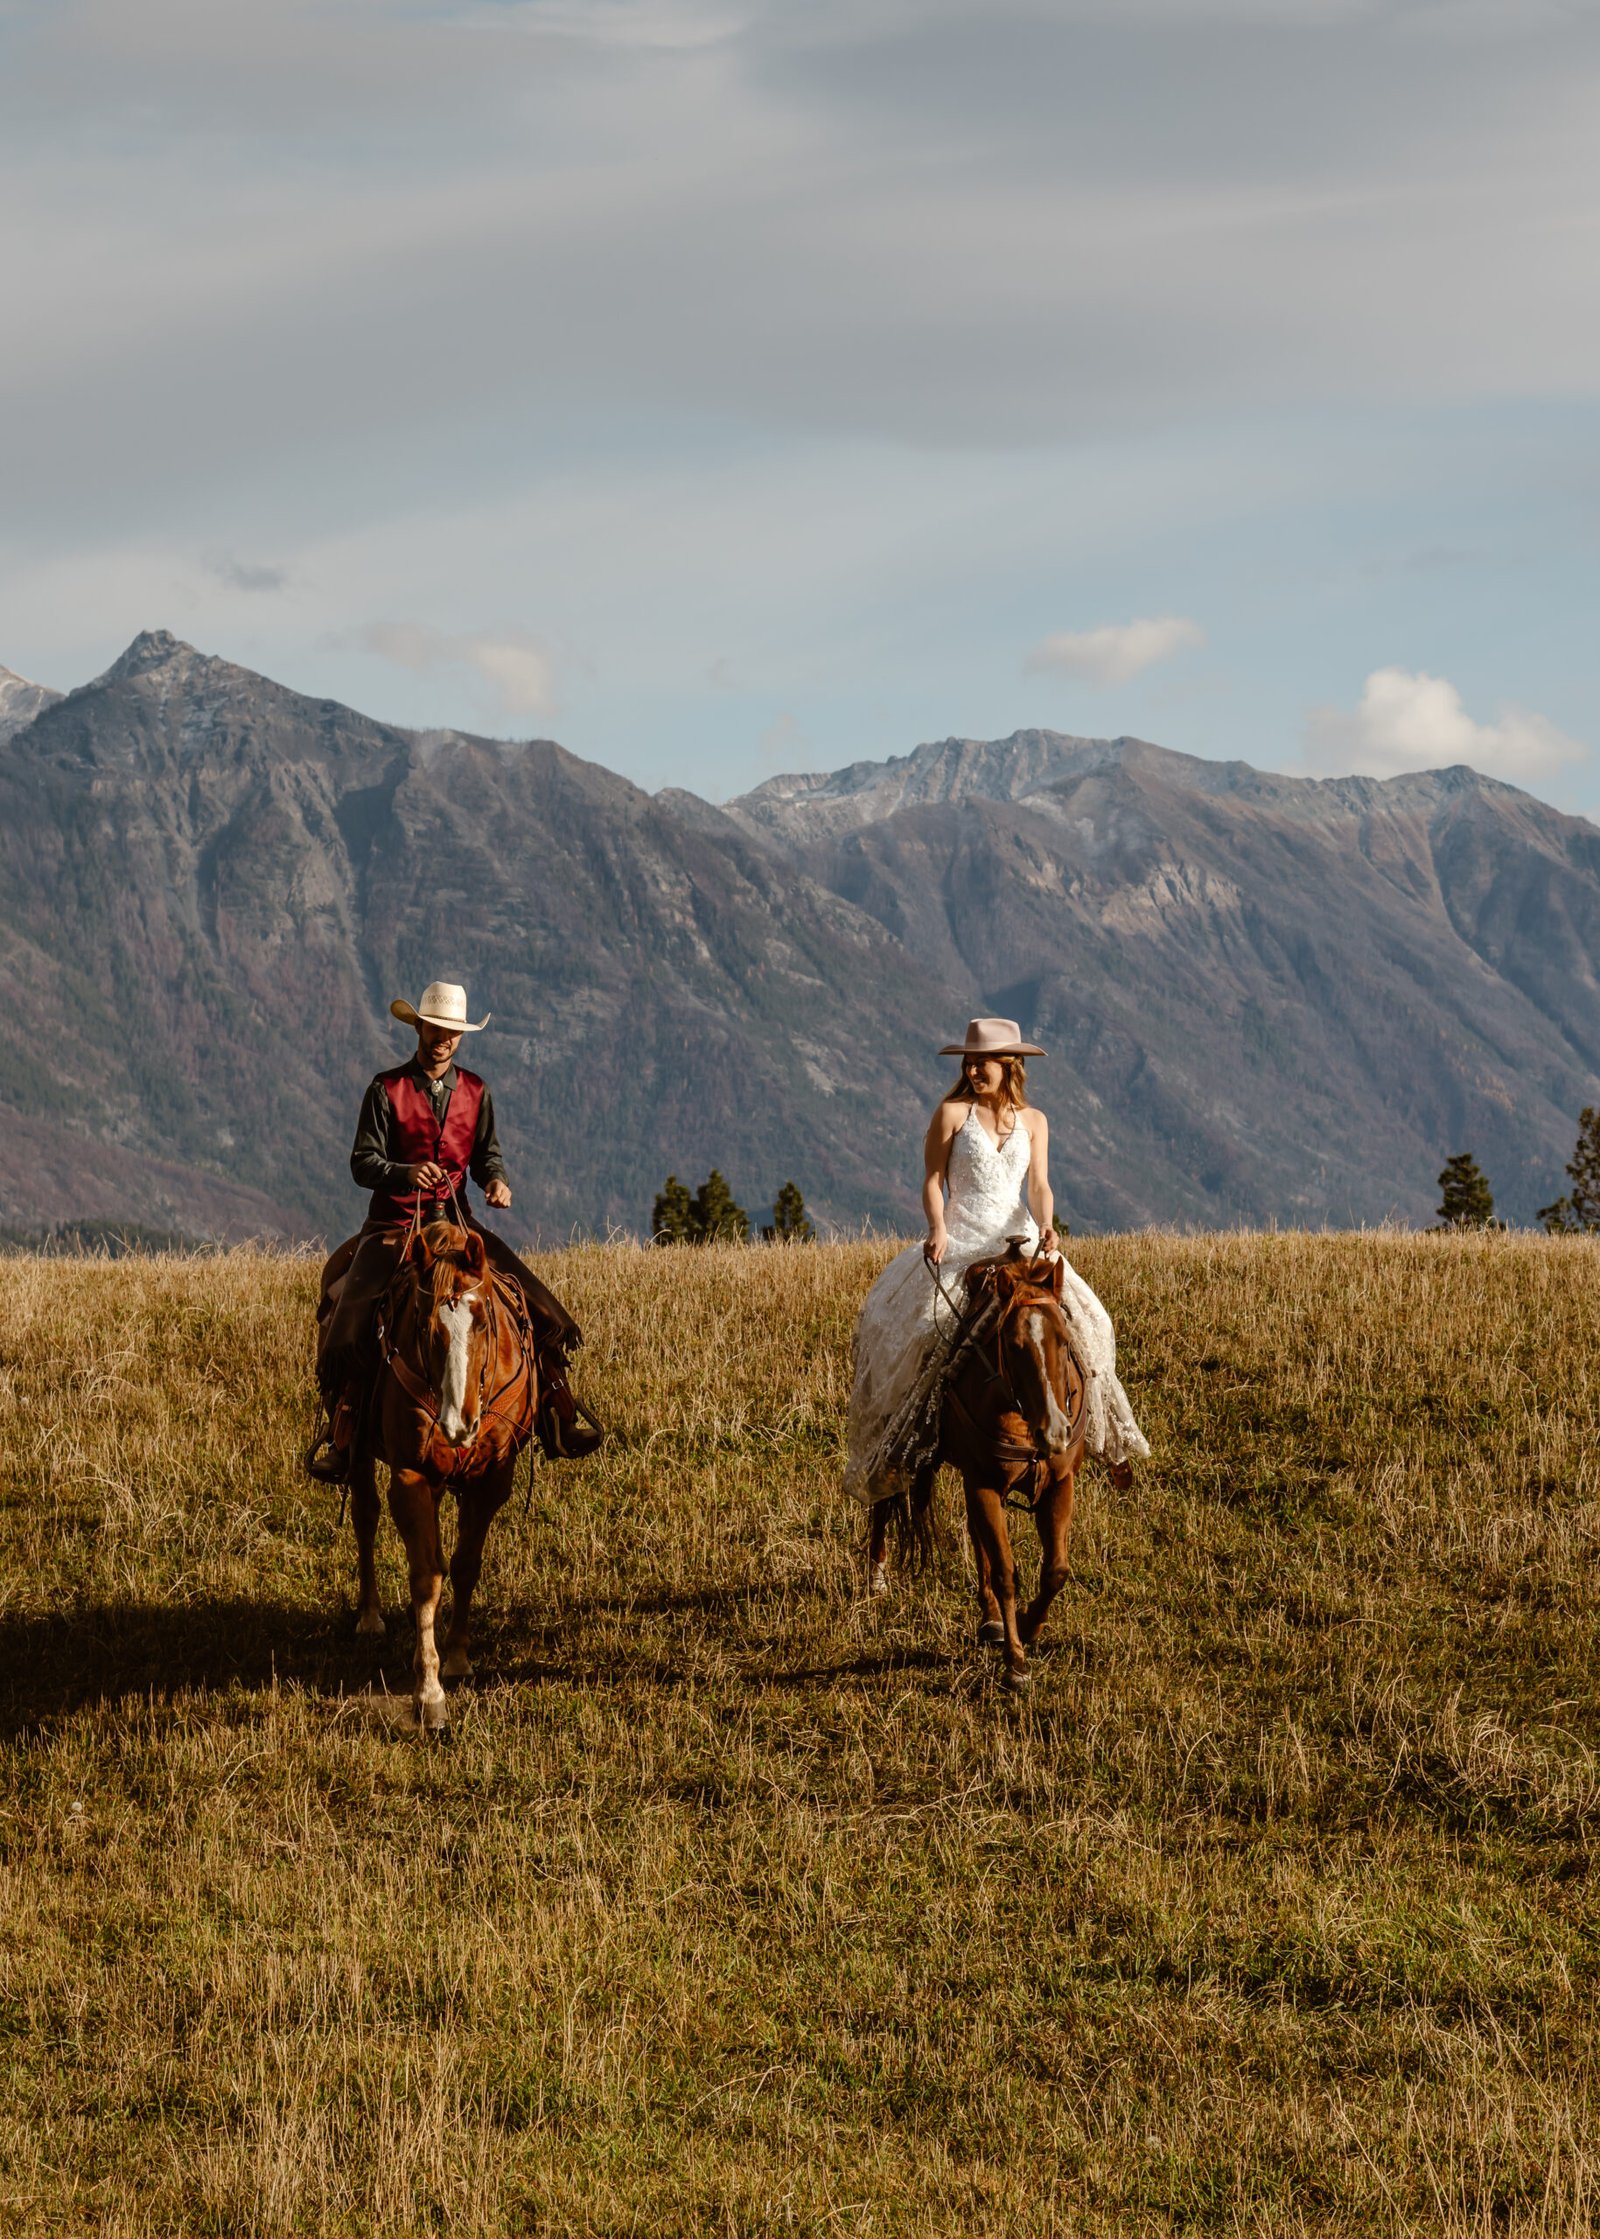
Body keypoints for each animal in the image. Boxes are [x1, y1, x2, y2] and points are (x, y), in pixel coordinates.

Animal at [348, 1220, 538, 1735]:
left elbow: (465, 1564)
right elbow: (426, 1576)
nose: (459, 1424)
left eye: (484, 1321)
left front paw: (456, 1659)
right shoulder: (410, 1475)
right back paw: (369, 1616)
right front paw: (429, 1694)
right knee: (364, 1517)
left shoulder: (491, 1480)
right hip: (355, 1448)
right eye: (424, 1326)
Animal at [867, 1242, 1088, 1693]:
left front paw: (1029, 1626)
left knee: (978, 1538)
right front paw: (1015, 1663)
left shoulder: (1058, 1483)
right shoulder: (984, 1482)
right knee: (883, 1502)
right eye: (1014, 1345)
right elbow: (1005, 1571)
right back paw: (876, 1581)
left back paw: (989, 1621)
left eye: (1063, 1339)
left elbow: (1055, 1570)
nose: (1054, 1430)